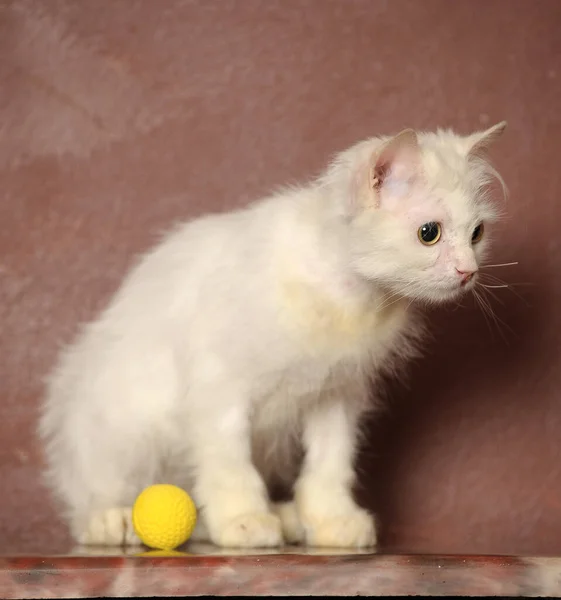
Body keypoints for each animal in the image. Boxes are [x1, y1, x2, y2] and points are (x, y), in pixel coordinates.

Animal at [37, 123, 506, 548]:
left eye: (477, 234)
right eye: (430, 233)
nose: (468, 272)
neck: (346, 298)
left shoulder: (337, 395)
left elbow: (330, 463)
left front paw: (332, 520)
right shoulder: (219, 391)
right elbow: (230, 466)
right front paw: (243, 521)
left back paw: (283, 518)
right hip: (123, 429)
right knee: (94, 497)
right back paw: (112, 521)